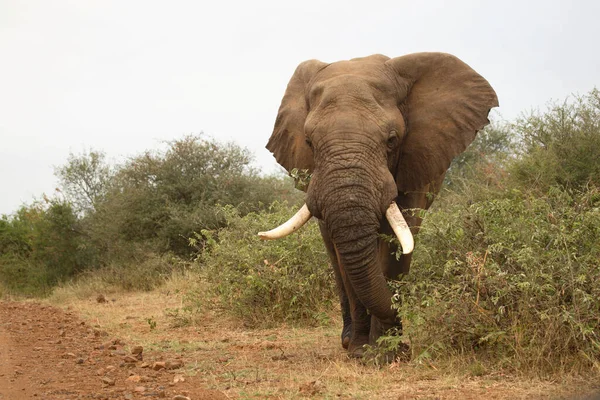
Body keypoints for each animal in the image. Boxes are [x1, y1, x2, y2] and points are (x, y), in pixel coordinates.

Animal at [258, 51, 496, 358]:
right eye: (309, 142)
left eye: (392, 140)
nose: (404, 339)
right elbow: (345, 253)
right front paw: (362, 350)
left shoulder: (415, 160)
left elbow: (400, 240)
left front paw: (388, 351)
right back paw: (348, 340)